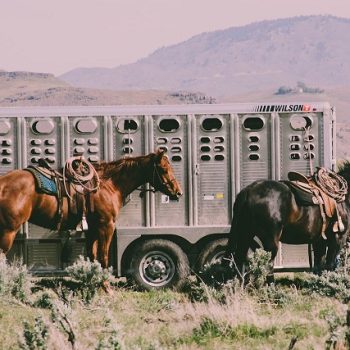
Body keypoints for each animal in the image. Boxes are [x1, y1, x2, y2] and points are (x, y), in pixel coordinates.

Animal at [0, 149, 182, 270]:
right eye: (164, 169)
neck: (108, 185)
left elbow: (93, 256)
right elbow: (104, 257)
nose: (178, 192)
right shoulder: (107, 225)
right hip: (8, 231)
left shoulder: (93, 228)